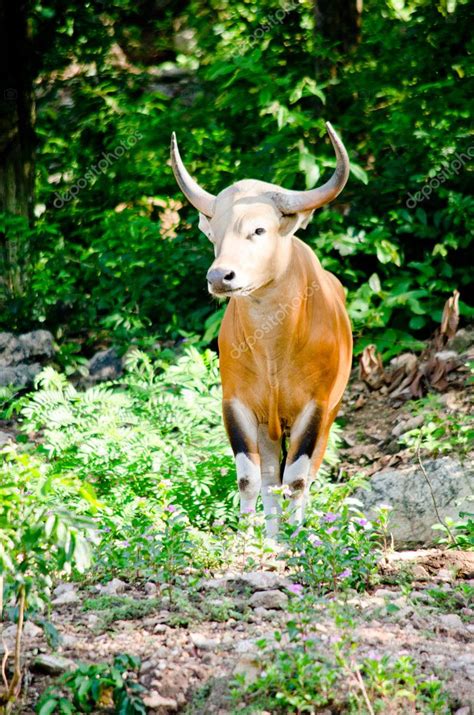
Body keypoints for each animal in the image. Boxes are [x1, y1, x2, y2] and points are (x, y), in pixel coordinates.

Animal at [170, 124, 352, 536]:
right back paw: (270, 535)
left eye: (259, 229)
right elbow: (249, 478)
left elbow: (298, 479)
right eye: (215, 234)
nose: (220, 276)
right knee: (270, 478)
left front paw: (298, 539)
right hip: (270, 428)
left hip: (328, 414)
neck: (273, 348)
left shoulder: (315, 408)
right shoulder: (236, 404)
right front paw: (248, 538)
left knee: (304, 476)